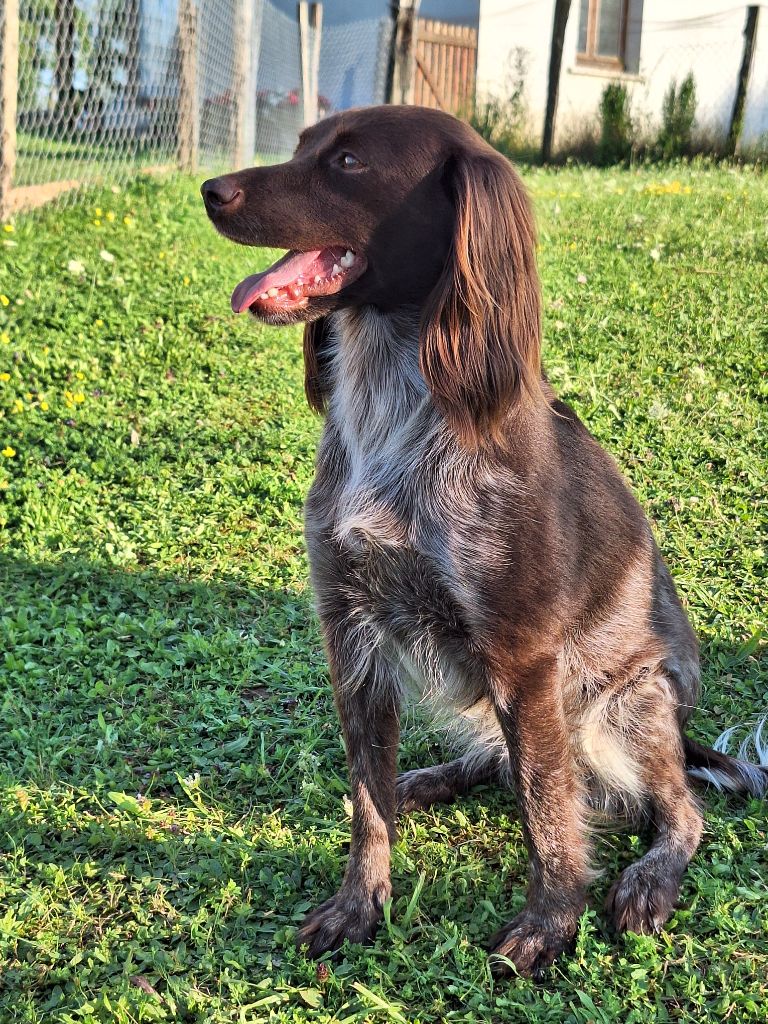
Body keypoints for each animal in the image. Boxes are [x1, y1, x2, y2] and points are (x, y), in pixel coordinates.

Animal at [204, 103, 768, 974]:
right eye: (302, 146)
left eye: (349, 162)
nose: (210, 190)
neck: (398, 413)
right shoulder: (352, 634)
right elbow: (369, 802)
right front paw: (359, 904)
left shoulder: (523, 653)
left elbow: (547, 810)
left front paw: (550, 923)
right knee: (494, 762)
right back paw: (428, 778)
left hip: (628, 700)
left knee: (672, 807)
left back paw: (650, 879)